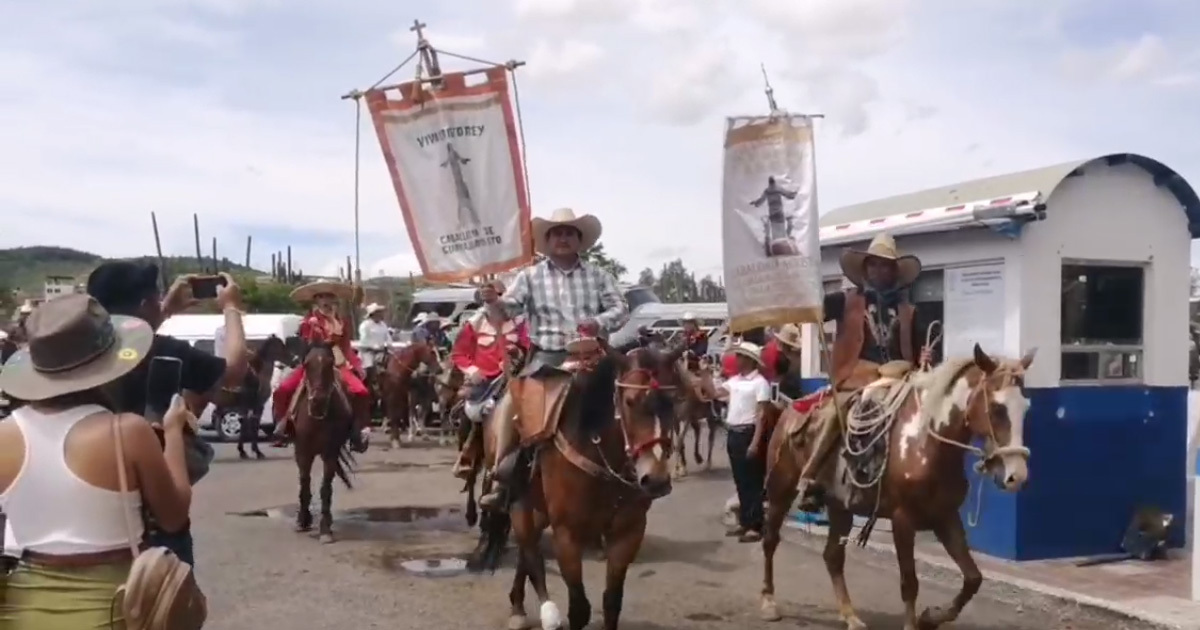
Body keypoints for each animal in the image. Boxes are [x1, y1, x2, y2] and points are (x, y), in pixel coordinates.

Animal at [294, 340, 355, 542]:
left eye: (329, 364)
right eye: (306, 364)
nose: (318, 400)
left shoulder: (330, 452)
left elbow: (325, 488)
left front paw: (325, 528)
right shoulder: (303, 452)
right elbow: (305, 482)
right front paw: (303, 520)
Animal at [477, 343, 686, 628]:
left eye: (673, 401)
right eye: (630, 401)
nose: (655, 479)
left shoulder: (628, 533)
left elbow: (612, 602)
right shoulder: (568, 534)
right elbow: (579, 608)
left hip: (539, 508)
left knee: (526, 552)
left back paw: (520, 605)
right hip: (519, 503)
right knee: (530, 551)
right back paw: (535, 610)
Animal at [758, 343, 1032, 628]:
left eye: (1025, 408)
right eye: (998, 408)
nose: (1017, 476)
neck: (926, 442)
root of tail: (790, 407)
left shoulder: (945, 516)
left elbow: (973, 578)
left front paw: (931, 617)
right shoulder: (903, 520)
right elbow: (909, 582)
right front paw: (915, 622)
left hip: (840, 507)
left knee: (832, 556)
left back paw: (850, 616)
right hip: (780, 490)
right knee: (770, 540)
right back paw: (769, 602)